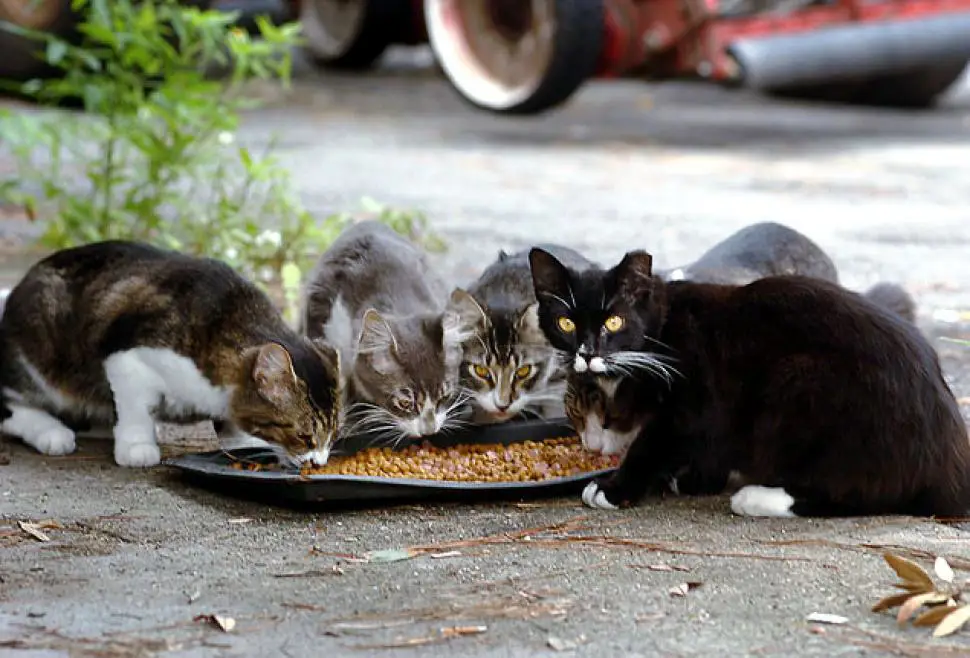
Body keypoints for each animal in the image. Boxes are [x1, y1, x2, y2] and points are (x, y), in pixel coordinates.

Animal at [0, 241, 340, 466]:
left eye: (334, 436)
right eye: (304, 436)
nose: (320, 463)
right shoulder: (127, 357)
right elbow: (136, 407)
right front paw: (137, 446)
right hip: (42, 356)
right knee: (10, 406)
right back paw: (52, 432)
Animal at [528, 243, 968, 516]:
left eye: (614, 321)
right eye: (566, 322)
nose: (587, 353)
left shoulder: (694, 393)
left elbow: (655, 441)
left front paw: (615, 488)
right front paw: (694, 480)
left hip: (801, 380)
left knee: (860, 493)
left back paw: (758, 499)